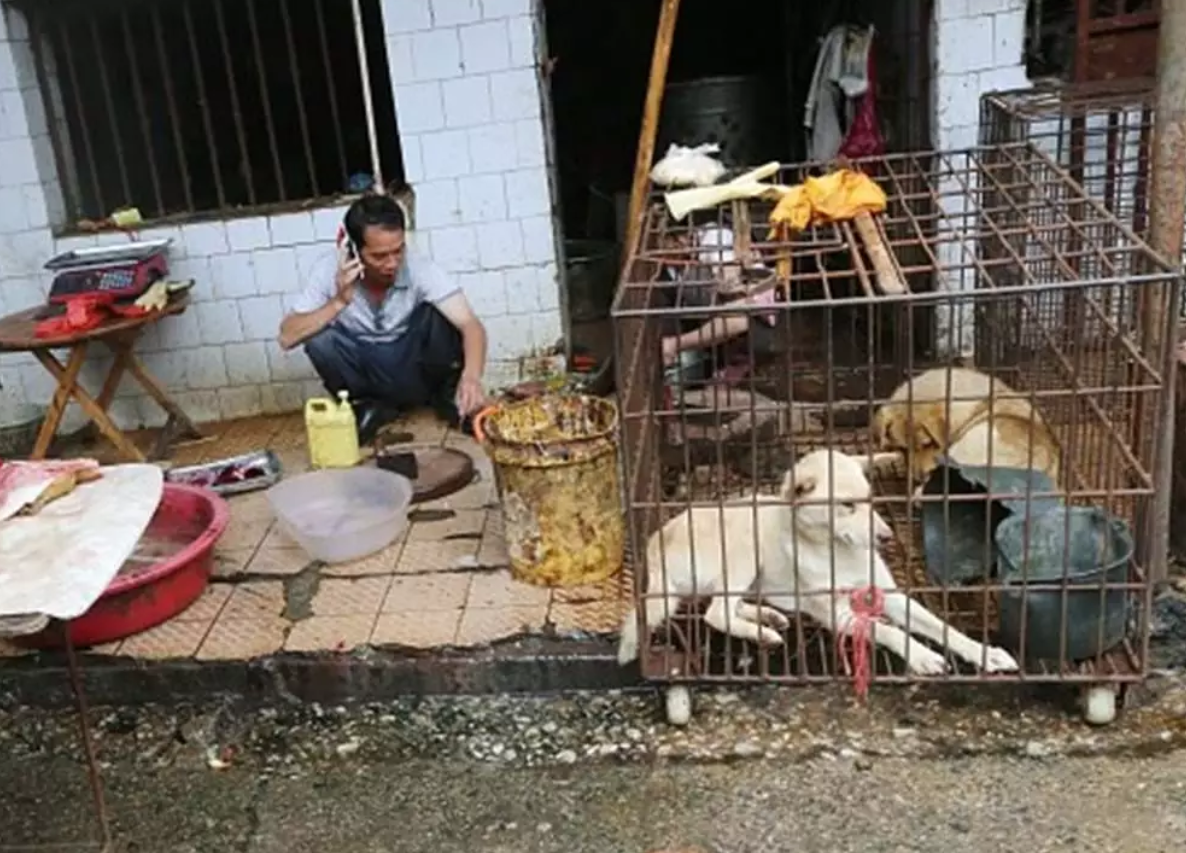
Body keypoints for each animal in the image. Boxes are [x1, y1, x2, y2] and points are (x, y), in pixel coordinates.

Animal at [617, 449, 1019, 675]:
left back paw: (766, 617)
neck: (839, 554)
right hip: (746, 548)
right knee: (715, 614)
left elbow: (943, 627)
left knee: (726, 606)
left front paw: (986, 654)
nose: (887, 537)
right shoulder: (838, 614)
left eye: (871, 499)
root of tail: (655, 542)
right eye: (847, 505)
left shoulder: (890, 596)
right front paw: (920, 656)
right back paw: (762, 632)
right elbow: (891, 631)